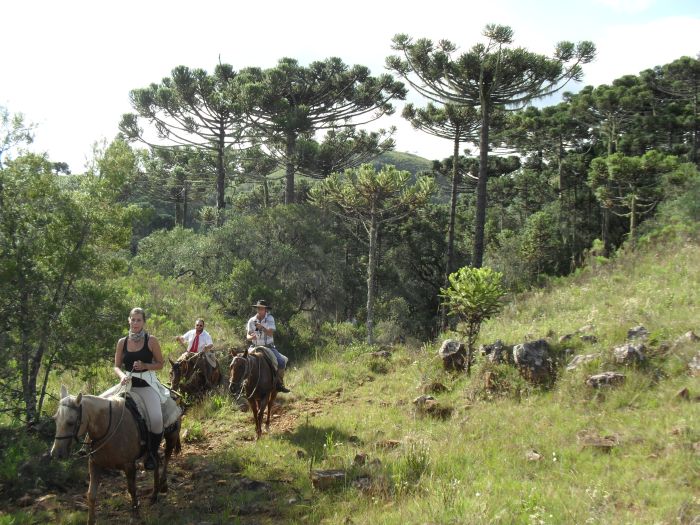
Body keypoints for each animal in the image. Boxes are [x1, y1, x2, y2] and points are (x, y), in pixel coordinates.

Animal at [50, 384, 182, 524]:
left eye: (70, 422)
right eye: (55, 419)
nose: (56, 453)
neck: (108, 426)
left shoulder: (129, 465)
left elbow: (132, 489)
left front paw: (135, 515)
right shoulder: (94, 464)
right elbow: (91, 494)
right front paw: (90, 520)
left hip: (171, 437)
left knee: (167, 458)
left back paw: (163, 486)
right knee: (156, 462)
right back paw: (154, 494)